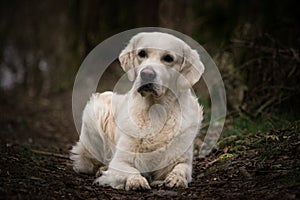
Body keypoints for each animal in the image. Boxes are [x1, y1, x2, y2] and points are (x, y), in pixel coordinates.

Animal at [71, 32, 204, 191]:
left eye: (168, 58)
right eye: (142, 53)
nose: (146, 74)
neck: (155, 111)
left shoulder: (182, 160)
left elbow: (181, 168)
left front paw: (176, 179)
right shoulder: (120, 161)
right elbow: (130, 170)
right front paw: (136, 181)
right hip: (96, 110)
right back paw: (102, 169)